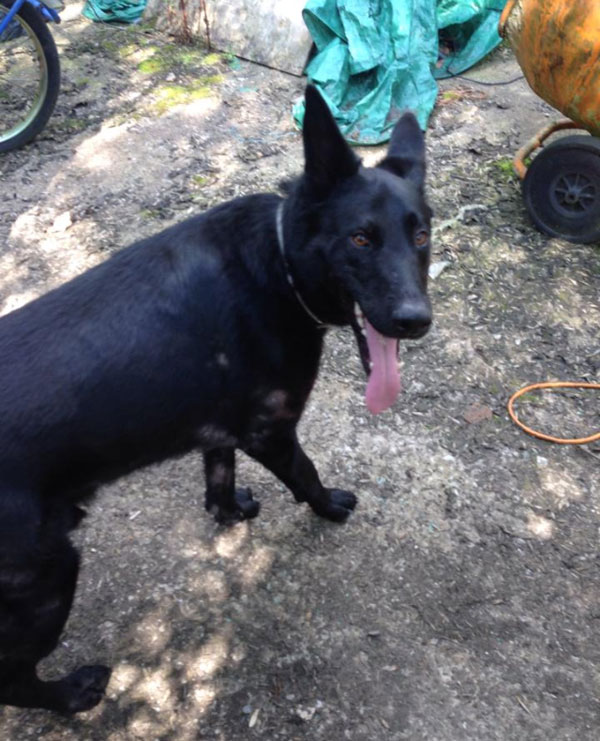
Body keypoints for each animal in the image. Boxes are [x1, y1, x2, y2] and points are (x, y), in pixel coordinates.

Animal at [0, 85, 432, 712]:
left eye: (421, 236)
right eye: (360, 238)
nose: (416, 321)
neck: (281, 262)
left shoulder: (223, 432)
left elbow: (218, 477)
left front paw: (229, 512)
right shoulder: (271, 432)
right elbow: (305, 473)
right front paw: (329, 506)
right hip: (47, 579)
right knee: (11, 677)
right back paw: (72, 693)